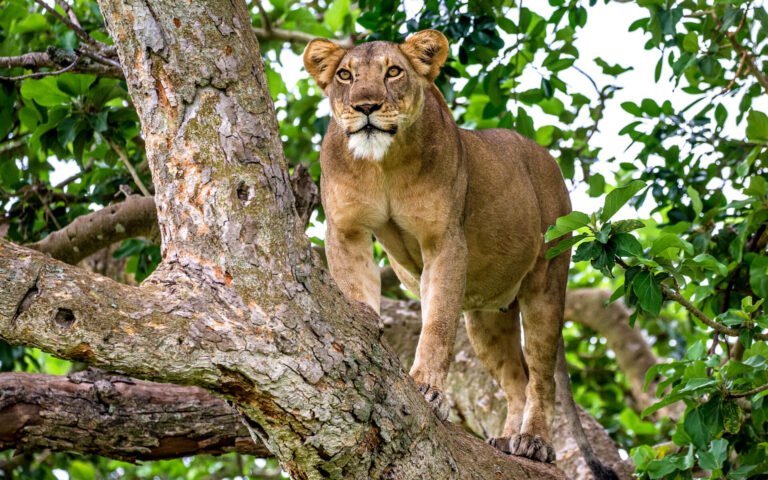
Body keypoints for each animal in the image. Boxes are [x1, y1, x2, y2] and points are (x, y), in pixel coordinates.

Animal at [303, 30, 617, 478]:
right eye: (345, 75)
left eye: (393, 71)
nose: (365, 106)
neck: (383, 164)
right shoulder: (346, 231)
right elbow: (357, 292)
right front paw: (365, 332)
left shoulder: (445, 242)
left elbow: (436, 326)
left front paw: (426, 389)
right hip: (486, 320)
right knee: (517, 378)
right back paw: (506, 440)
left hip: (546, 281)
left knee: (542, 377)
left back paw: (533, 442)